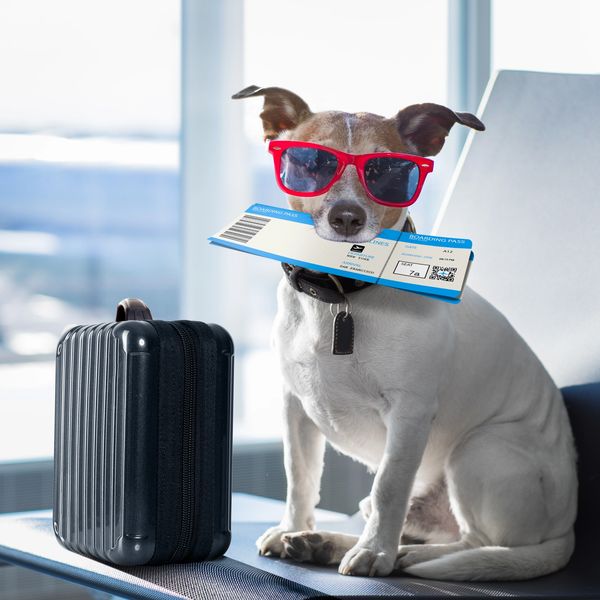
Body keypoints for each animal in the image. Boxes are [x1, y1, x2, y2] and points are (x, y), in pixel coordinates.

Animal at [233, 85, 576, 580]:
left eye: (390, 171)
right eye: (311, 163)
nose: (347, 217)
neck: (340, 296)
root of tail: (567, 528)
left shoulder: (409, 415)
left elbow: (389, 487)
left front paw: (376, 553)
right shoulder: (294, 408)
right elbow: (299, 477)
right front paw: (293, 527)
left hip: (479, 448)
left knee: (472, 542)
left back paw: (402, 556)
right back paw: (324, 542)